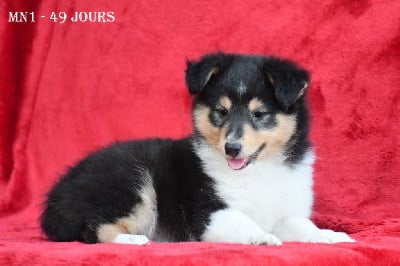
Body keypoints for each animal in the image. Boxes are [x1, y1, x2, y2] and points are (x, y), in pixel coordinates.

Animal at [40, 51, 354, 245]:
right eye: (221, 112)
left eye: (259, 114)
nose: (231, 148)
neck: (257, 170)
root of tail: (55, 197)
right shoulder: (207, 212)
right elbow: (240, 220)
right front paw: (262, 237)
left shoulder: (285, 213)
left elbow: (303, 225)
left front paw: (331, 236)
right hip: (130, 186)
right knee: (92, 228)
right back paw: (131, 239)